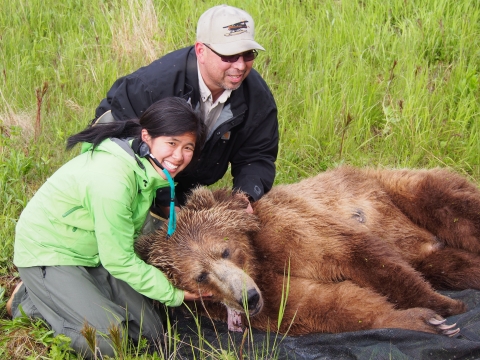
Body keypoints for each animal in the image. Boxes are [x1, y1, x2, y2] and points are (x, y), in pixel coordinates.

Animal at [134, 166, 480, 338]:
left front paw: (446, 306)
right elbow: (330, 305)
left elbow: (360, 256)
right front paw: (425, 321)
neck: (258, 262)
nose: (248, 299)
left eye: (224, 250)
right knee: (451, 264)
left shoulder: (291, 231)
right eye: (200, 277)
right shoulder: (276, 293)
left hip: (394, 188)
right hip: (427, 251)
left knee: (451, 204)